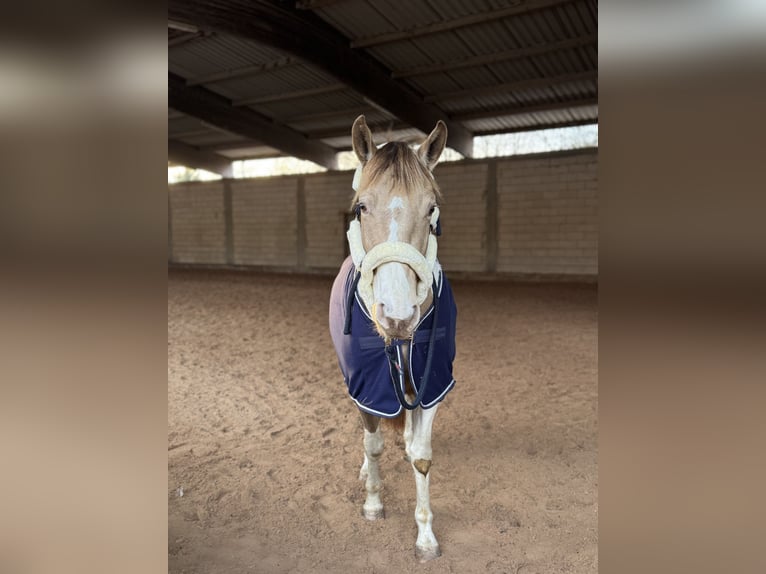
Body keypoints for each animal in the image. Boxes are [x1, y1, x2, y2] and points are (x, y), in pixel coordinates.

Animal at [328, 115, 458, 562]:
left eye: (432, 208)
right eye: (361, 207)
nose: (398, 315)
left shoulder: (433, 382)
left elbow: (421, 456)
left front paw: (426, 536)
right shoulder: (367, 386)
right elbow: (373, 445)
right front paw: (373, 502)